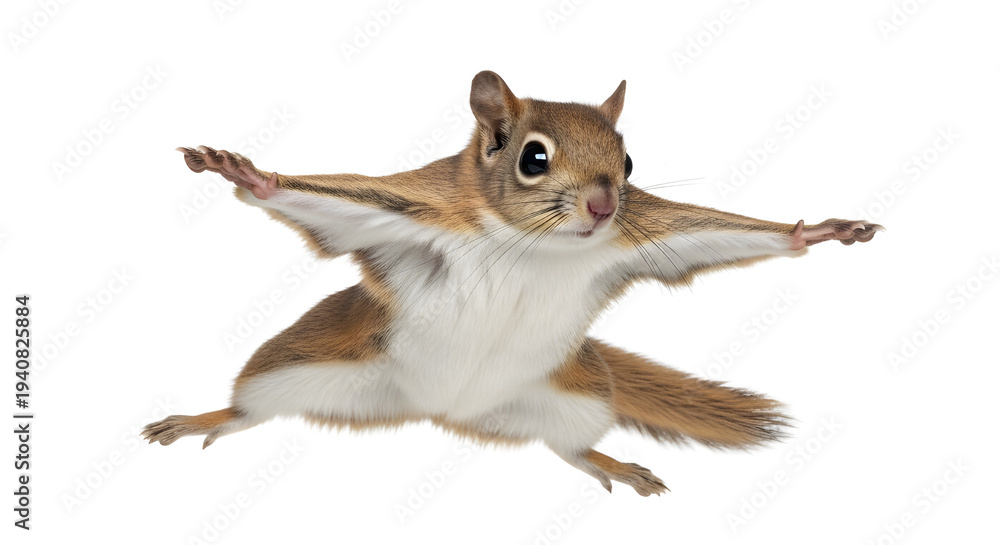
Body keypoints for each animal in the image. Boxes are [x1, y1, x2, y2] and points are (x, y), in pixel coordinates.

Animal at [142, 71, 882, 496]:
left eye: (629, 161)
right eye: (533, 158)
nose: (604, 206)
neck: (533, 244)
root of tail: (441, 410)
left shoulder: (643, 238)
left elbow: (721, 234)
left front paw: (813, 233)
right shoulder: (416, 210)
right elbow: (320, 200)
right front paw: (248, 174)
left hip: (574, 399)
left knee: (570, 450)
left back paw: (613, 465)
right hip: (298, 361)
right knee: (249, 411)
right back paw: (204, 418)